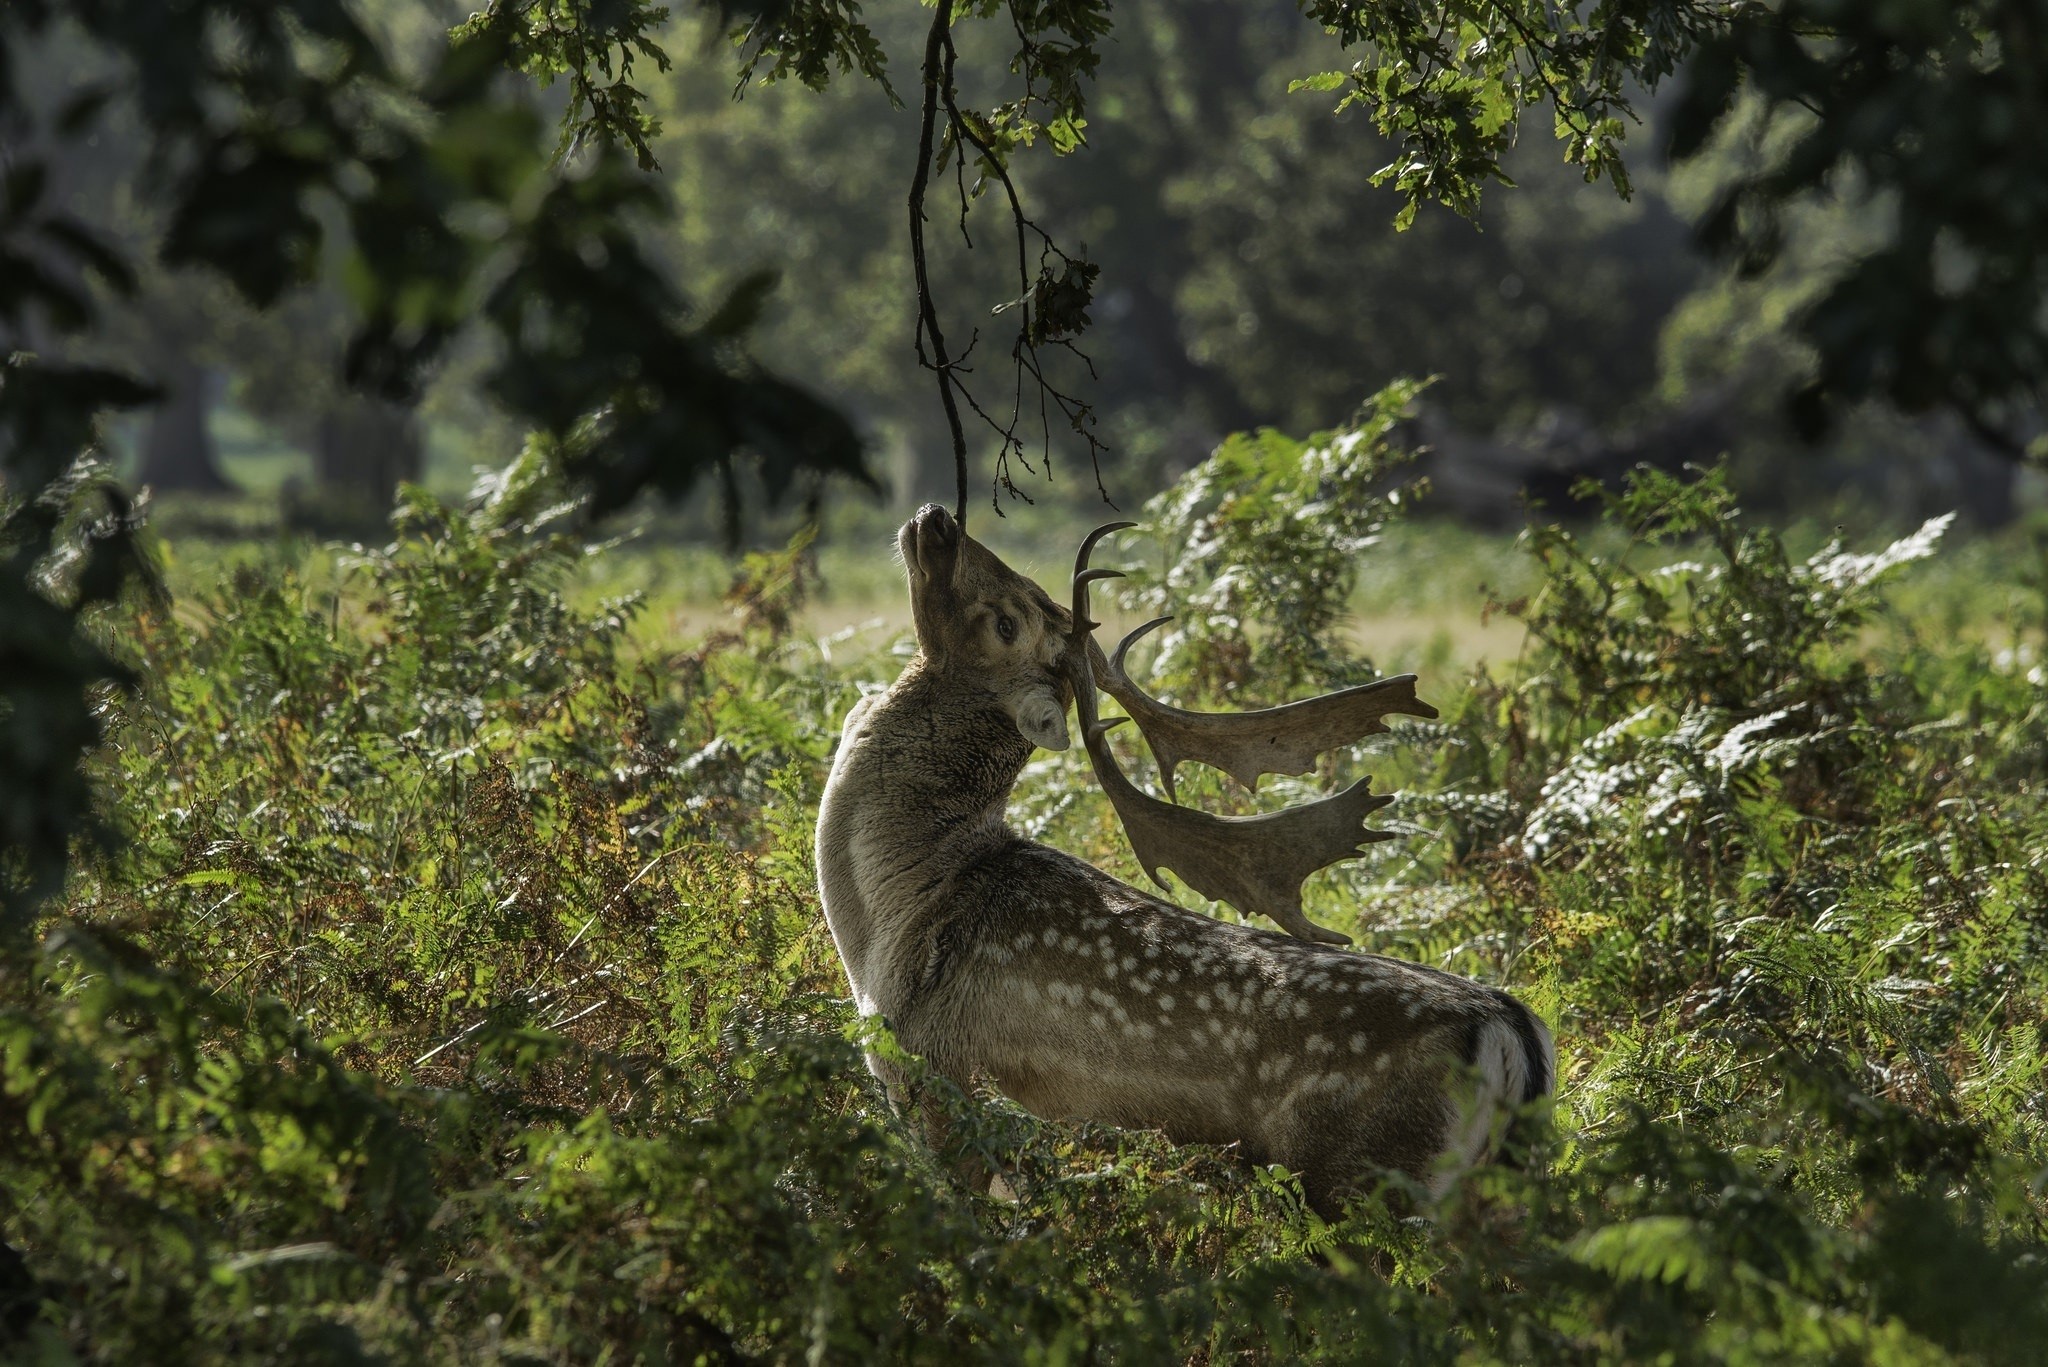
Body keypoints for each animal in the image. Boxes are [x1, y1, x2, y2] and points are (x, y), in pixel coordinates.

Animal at [814, 503, 1553, 1216]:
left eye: (1004, 621)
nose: (939, 520)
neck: (894, 919)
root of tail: (1510, 1029)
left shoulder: (945, 1083)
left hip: (1364, 1178)